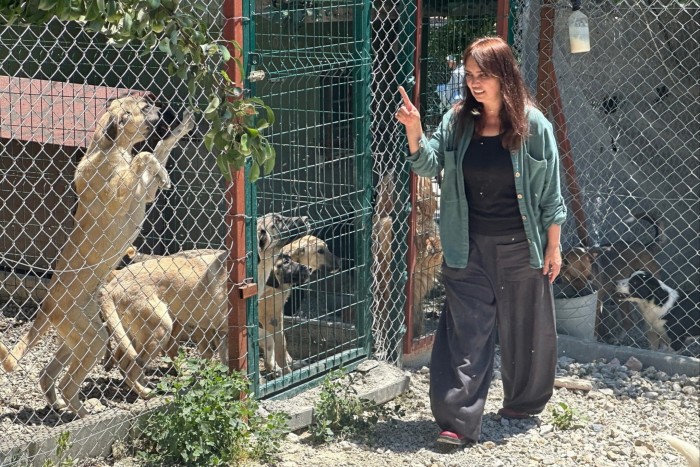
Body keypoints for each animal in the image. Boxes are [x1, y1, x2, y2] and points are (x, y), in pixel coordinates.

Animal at [0, 96, 193, 416]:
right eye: (145, 107)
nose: (168, 110)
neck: (110, 149)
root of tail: (47, 306)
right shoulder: (125, 193)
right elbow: (146, 156)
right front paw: (162, 169)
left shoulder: (145, 192)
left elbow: (158, 151)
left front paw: (177, 135)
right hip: (92, 340)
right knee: (67, 382)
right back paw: (83, 411)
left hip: (84, 338)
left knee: (48, 374)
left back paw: (59, 405)